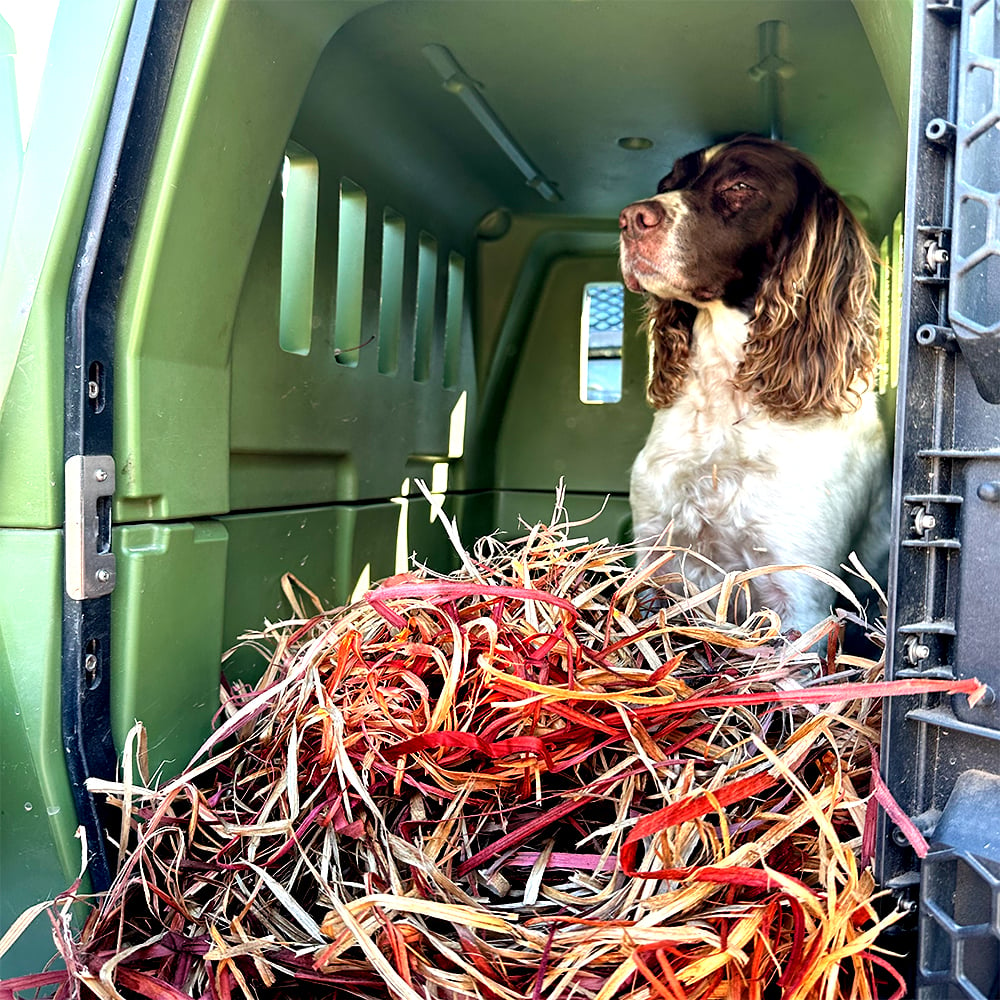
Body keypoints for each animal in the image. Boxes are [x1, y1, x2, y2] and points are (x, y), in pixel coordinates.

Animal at [620, 137, 888, 632]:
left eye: (740, 187)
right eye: (667, 184)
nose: (630, 218)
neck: (725, 403)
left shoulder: (798, 596)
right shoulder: (653, 561)